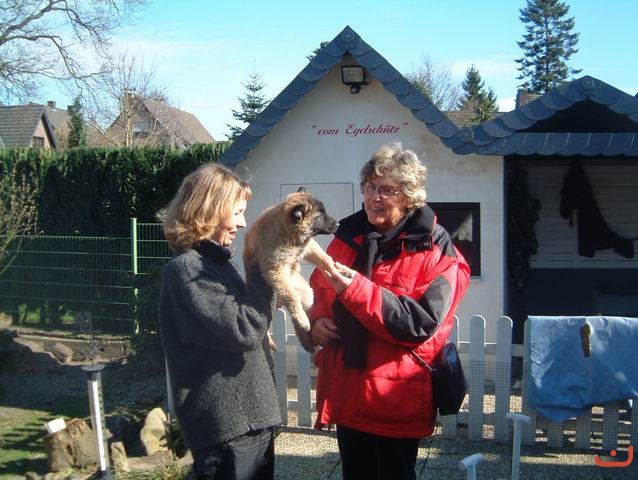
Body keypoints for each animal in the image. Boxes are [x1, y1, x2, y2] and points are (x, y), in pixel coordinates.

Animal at [244, 188, 338, 352]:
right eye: (320, 215)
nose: (338, 224)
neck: (288, 234)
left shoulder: (308, 246)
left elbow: (325, 259)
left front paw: (341, 270)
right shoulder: (275, 270)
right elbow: (291, 297)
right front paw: (302, 320)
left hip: (307, 294)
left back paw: (308, 341)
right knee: (291, 301)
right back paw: (302, 324)